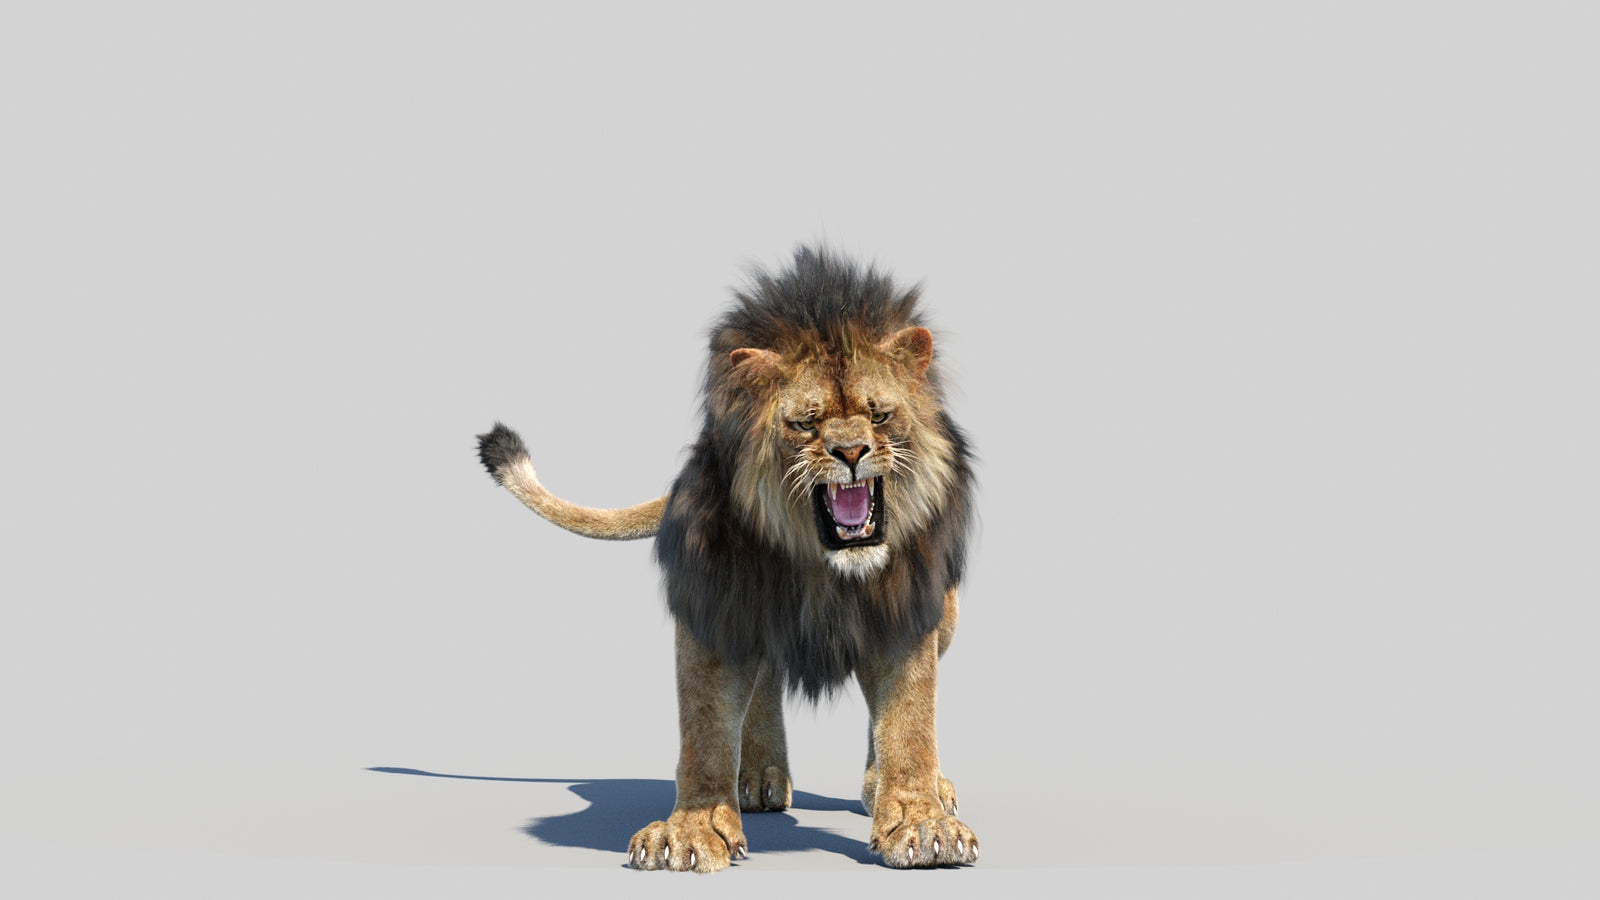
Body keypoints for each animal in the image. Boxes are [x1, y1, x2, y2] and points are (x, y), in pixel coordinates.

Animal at [476, 246, 978, 871]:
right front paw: (689, 831)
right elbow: (706, 725)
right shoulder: (714, 600)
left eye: (880, 415)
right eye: (806, 422)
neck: (821, 564)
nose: (851, 452)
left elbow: (910, 721)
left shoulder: (906, 604)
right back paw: (759, 776)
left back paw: (891, 786)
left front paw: (920, 822)